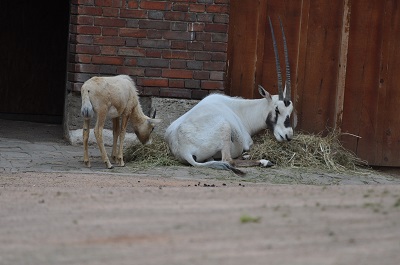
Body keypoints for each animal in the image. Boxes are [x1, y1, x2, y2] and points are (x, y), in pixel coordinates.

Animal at [163, 16, 294, 173]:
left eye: (291, 110)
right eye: (277, 109)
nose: (288, 135)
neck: (241, 110)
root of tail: (183, 149)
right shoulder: (247, 142)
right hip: (225, 128)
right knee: (228, 160)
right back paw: (264, 161)